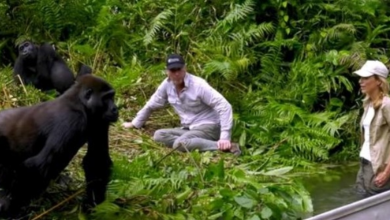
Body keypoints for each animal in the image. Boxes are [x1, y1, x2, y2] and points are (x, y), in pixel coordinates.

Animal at [0, 73, 119, 217]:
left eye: (112, 96)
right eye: (106, 98)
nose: (115, 109)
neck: (79, 103)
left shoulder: (100, 121)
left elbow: (96, 161)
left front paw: (94, 206)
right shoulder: (72, 120)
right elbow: (39, 166)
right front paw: (10, 207)